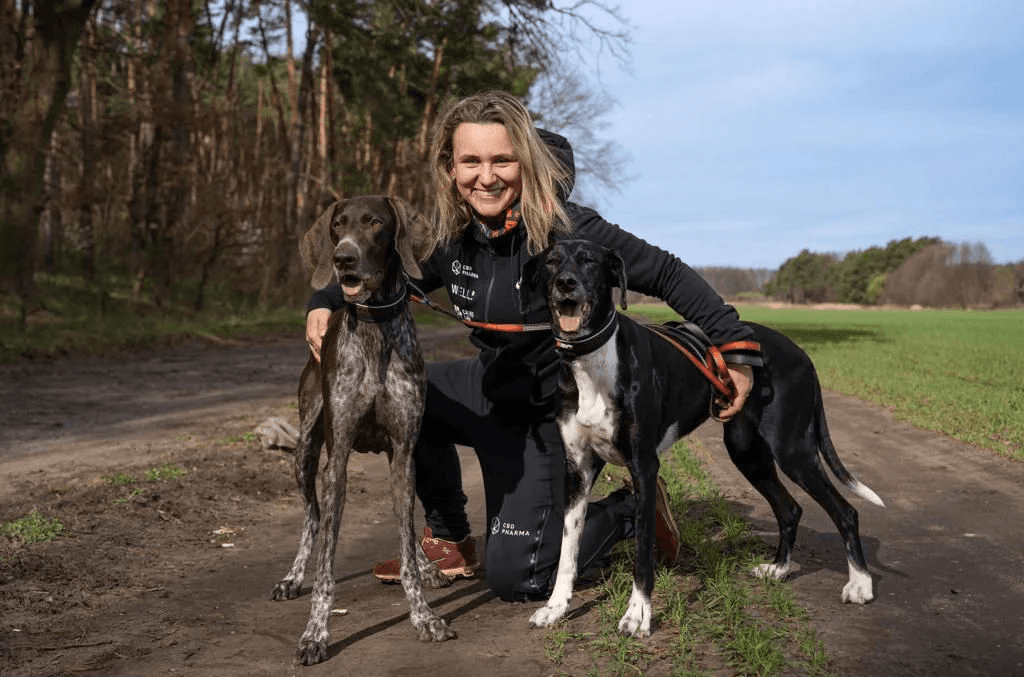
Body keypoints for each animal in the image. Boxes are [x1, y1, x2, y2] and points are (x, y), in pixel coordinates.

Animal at [270, 195, 454, 663]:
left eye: (375, 223)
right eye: (337, 225)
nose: (343, 259)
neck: (375, 329)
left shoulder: (404, 452)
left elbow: (407, 544)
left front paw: (424, 616)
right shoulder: (337, 462)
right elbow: (326, 567)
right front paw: (314, 634)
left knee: (407, 524)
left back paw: (426, 565)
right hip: (305, 453)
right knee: (312, 519)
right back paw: (293, 577)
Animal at [524, 240, 884, 635]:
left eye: (589, 260)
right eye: (552, 261)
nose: (565, 283)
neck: (594, 361)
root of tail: (803, 355)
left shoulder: (643, 468)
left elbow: (642, 553)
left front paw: (637, 615)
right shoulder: (578, 470)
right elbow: (567, 549)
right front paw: (556, 607)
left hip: (793, 451)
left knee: (846, 511)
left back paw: (860, 584)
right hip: (747, 453)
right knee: (790, 509)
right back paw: (779, 569)